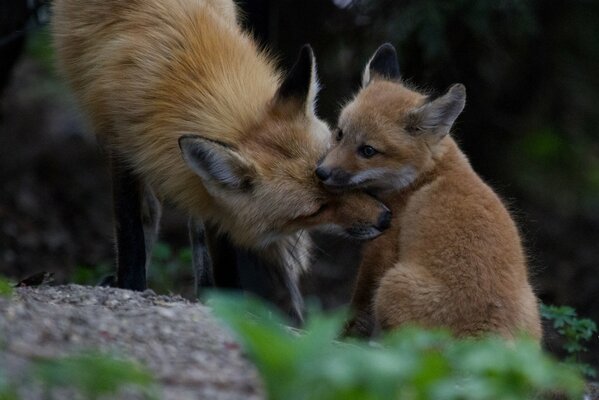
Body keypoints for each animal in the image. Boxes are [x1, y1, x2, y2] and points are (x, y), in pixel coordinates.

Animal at [50, 0, 390, 316]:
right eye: (317, 209)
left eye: (337, 172)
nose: (385, 219)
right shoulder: (121, 141)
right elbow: (131, 230)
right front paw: (131, 286)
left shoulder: (207, 189)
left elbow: (218, 237)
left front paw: (229, 302)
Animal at [316, 45, 540, 342]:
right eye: (340, 134)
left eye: (368, 151)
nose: (321, 172)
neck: (424, 175)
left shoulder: (382, 246)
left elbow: (358, 308)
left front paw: (342, 337)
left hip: (392, 285)